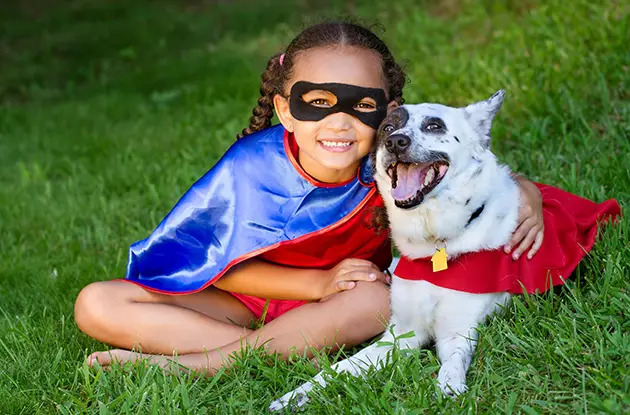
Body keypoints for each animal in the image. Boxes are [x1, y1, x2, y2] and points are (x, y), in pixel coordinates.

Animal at [272, 91, 524, 412]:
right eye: (388, 128)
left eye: (434, 126)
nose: (396, 142)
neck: (435, 246)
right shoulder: (400, 334)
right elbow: (343, 367)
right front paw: (299, 393)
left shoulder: (457, 331)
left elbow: (451, 365)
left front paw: (449, 389)